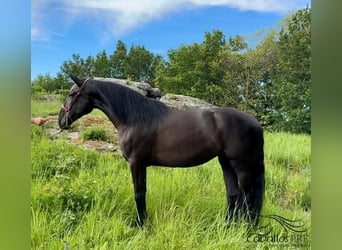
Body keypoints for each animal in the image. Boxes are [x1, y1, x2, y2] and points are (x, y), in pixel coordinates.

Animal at [58, 75, 264, 226]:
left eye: (72, 94)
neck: (134, 118)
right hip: (226, 163)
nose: (61, 120)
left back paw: (246, 228)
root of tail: (255, 123)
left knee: (248, 196)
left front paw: (141, 224)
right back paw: (227, 225)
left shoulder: (137, 163)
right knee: (233, 195)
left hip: (241, 165)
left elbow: (139, 193)